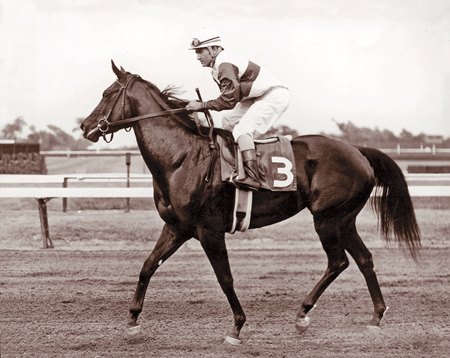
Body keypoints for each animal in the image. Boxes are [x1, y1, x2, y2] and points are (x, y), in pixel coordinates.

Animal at [81, 60, 422, 344]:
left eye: (107, 93)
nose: (85, 127)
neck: (181, 158)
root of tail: (358, 151)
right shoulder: (177, 228)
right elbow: (147, 267)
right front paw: (132, 322)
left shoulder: (209, 231)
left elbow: (225, 278)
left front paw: (236, 327)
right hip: (344, 220)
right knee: (364, 259)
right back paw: (375, 317)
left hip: (328, 218)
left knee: (338, 262)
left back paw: (302, 314)